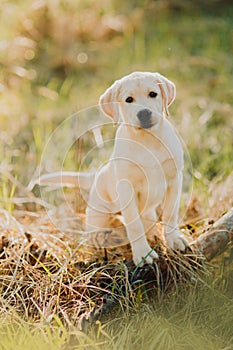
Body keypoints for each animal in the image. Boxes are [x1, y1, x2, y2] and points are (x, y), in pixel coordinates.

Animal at [37, 72, 189, 266]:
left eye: (153, 94)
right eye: (129, 99)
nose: (144, 113)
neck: (147, 140)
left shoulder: (174, 179)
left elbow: (170, 213)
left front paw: (174, 240)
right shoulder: (126, 187)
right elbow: (134, 223)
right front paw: (143, 253)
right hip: (99, 211)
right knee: (94, 229)